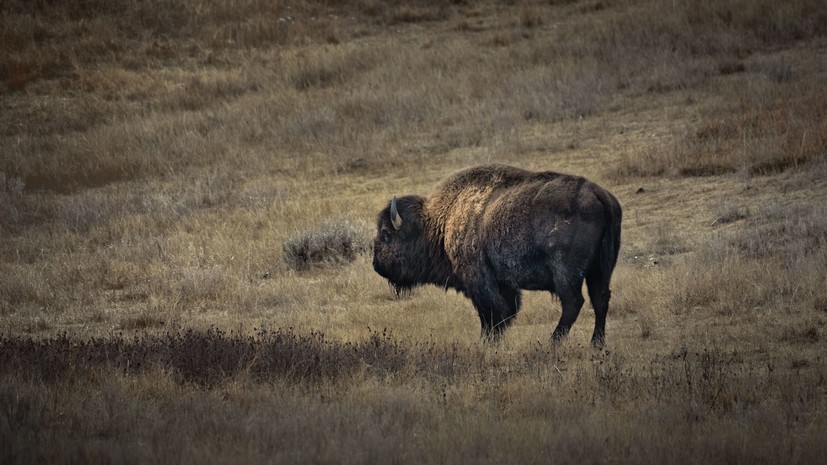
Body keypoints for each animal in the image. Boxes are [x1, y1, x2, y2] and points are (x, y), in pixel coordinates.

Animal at [374, 162, 620, 344]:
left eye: (386, 234)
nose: (377, 265)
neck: (440, 223)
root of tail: (600, 195)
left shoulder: (481, 282)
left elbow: (492, 316)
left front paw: (486, 344)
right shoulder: (504, 284)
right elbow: (504, 313)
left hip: (567, 273)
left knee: (573, 302)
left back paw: (552, 343)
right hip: (600, 269)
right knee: (600, 299)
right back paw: (596, 344)